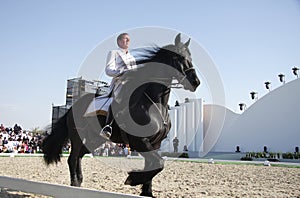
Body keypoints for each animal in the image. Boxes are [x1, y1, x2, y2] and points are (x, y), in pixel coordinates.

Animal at [42, 33, 200, 196]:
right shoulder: (139, 141)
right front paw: (132, 179)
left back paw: (79, 183)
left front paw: (146, 192)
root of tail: (72, 107)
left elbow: (154, 165)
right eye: (179, 57)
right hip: (78, 137)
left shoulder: (155, 143)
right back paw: (74, 185)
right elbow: (159, 163)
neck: (154, 104)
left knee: (79, 156)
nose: (196, 82)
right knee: (72, 158)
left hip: (94, 139)